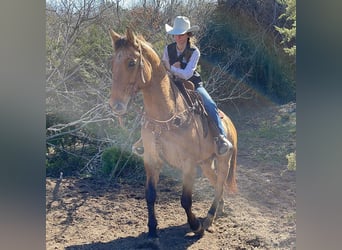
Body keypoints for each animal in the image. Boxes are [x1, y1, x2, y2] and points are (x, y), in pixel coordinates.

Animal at [108, 28, 236, 237]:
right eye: (113, 63)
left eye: (131, 62)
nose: (115, 105)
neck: (166, 115)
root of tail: (230, 123)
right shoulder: (151, 159)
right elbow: (150, 195)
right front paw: (152, 231)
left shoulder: (188, 163)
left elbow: (185, 200)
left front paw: (195, 225)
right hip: (206, 163)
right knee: (218, 182)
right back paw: (219, 210)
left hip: (223, 160)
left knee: (219, 184)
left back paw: (208, 218)